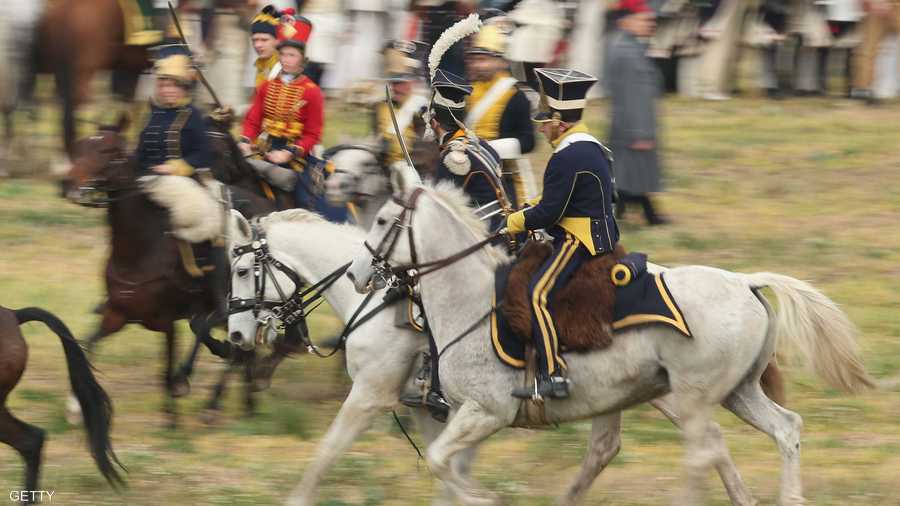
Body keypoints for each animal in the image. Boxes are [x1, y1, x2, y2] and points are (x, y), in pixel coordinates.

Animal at [348, 180, 876, 504]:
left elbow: (441, 463)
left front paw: (485, 498)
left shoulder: (486, 411)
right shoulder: (470, 414)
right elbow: (450, 467)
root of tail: (745, 281)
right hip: (738, 392)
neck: (472, 302)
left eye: (383, 221)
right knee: (785, 429)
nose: (357, 273)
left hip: (695, 398)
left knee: (704, 453)